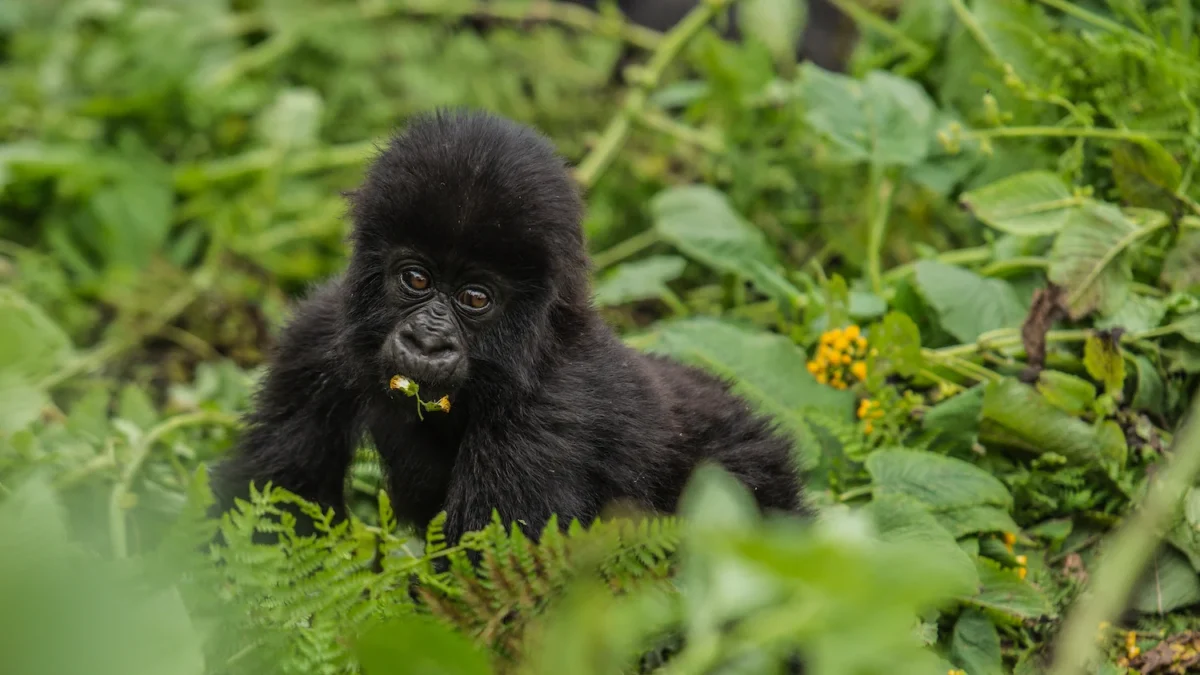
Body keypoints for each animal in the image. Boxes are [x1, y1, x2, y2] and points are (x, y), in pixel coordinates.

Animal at [209, 109, 807, 546]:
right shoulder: (320, 335)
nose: (426, 340)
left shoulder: (545, 417)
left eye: (475, 298)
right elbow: (273, 504)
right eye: (416, 279)